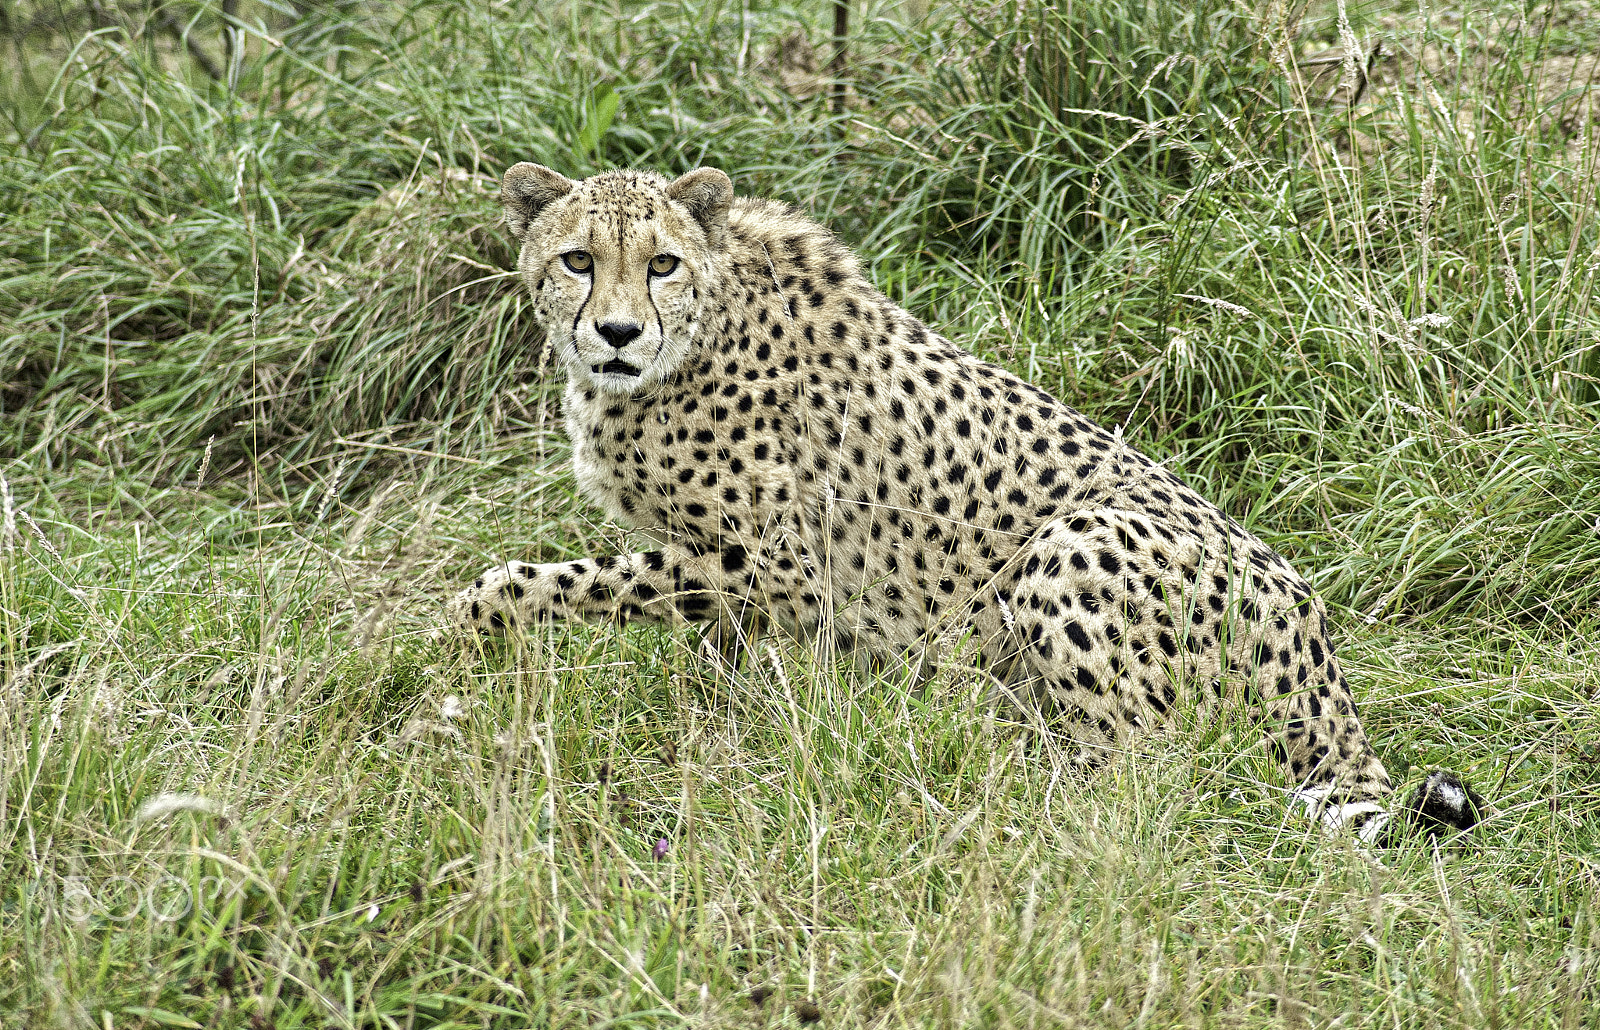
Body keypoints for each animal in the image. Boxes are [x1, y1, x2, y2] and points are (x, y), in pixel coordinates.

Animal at [449, 162, 1483, 843]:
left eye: (660, 264)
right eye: (578, 260)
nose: (618, 333)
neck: (692, 336)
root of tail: (1319, 646)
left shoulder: (777, 563)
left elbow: (550, 581)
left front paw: (462, 631)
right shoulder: (750, 583)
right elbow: (715, 658)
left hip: (1069, 547)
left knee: (1150, 775)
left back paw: (997, 780)